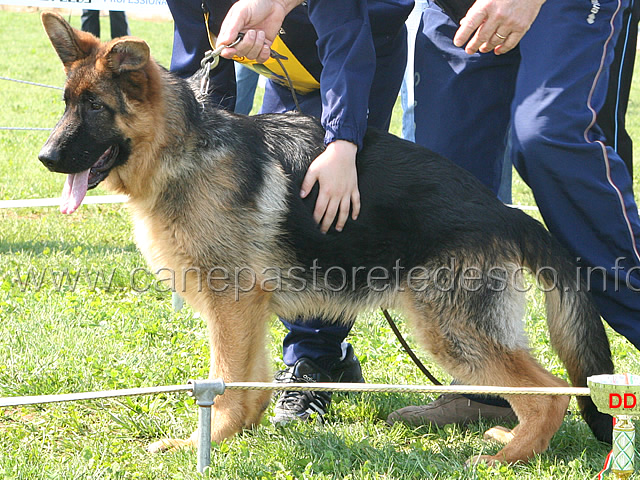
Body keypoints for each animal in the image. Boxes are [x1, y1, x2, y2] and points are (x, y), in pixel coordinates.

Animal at [37, 13, 612, 464]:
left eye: (96, 108)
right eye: (66, 103)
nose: (44, 158)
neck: (183, 148)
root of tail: (503, 211)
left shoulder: (232, 302)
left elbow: (224, 383)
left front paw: (206, 442)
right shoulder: (247, 309)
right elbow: (250, 381)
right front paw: (240, 433)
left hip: (449, 329)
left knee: (553, 391)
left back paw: (508, 455)